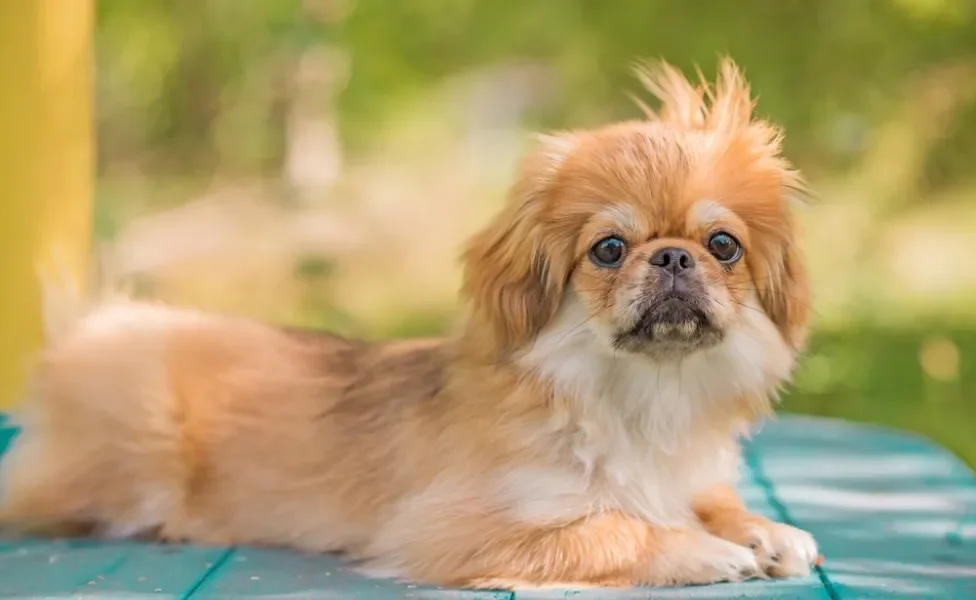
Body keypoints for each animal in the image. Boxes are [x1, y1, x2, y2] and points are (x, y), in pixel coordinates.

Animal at [0, 59, 816, 592]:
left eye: (723, 246)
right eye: (610, 249)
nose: (673, 256)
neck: (645, 398)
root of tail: (97, 328)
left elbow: (711, 500)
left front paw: (762, 529)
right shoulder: (453, 528)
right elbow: (611, 525)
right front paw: (703, 551)